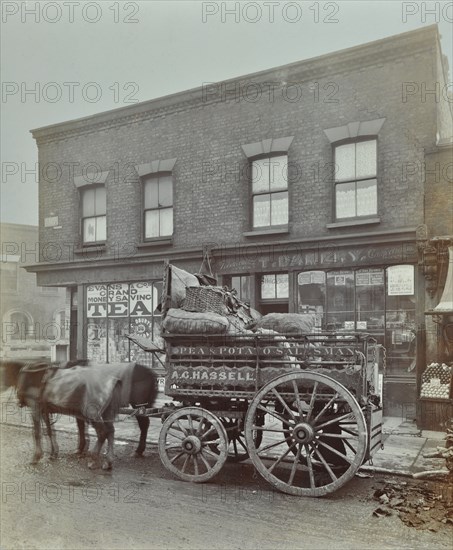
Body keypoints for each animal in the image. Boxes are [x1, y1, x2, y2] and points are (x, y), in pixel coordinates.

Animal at [0, 360, 158, 472]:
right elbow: (50, 431)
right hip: (106, 412)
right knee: (111, 431)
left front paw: (37, 456)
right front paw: (54, 453)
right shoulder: (45, 410)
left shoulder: (35, 407)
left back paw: (95, 459)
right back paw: (108, 461)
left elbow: (37, 432)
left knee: (104, 432)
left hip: (98, 412)